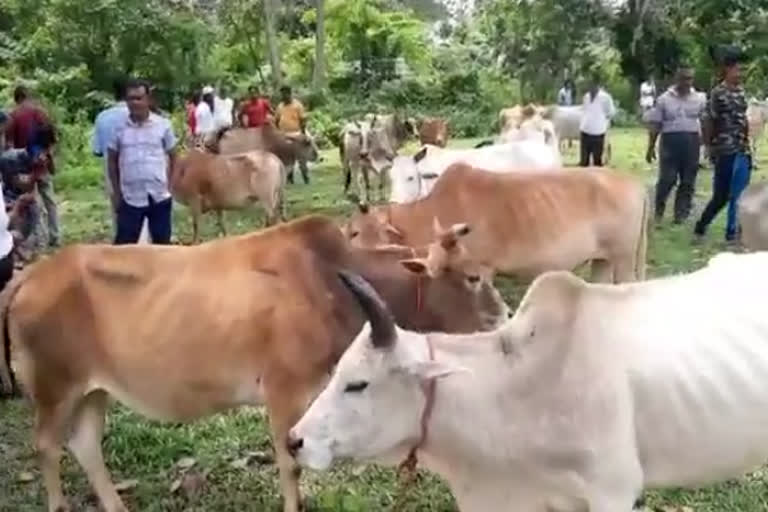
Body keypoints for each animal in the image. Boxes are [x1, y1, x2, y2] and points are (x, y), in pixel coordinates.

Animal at [3, 214, 512, 512]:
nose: (506, 318)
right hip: (55, 388)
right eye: (472, 277)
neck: (328, 280)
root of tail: (31, 275)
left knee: (85, 446)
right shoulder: (284, 389)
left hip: (94, 390)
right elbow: (289, 463)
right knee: (47, 447)